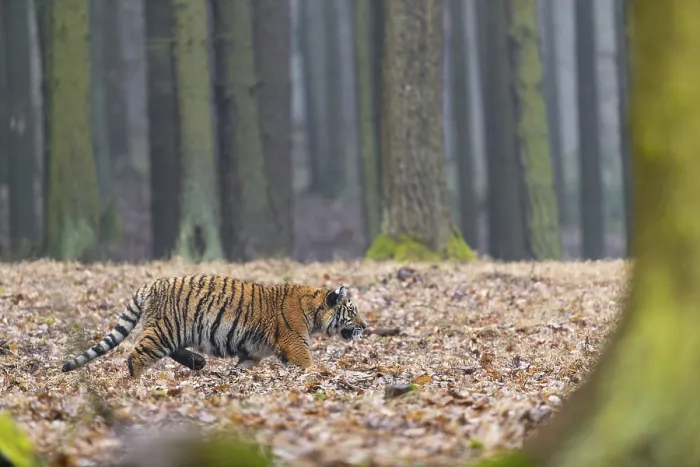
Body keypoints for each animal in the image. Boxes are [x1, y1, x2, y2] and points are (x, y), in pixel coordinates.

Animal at [60, 275, 368, 378]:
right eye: (352, 311)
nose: (366, 326)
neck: (313, 310)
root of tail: (151, 284)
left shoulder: (253, 353)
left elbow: (241, 368)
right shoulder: (295, 343)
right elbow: (309, 364)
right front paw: (322, 375)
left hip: (171, 332)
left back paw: (197, 362)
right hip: (164, 330)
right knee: (136, 356)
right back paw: (136, 383)